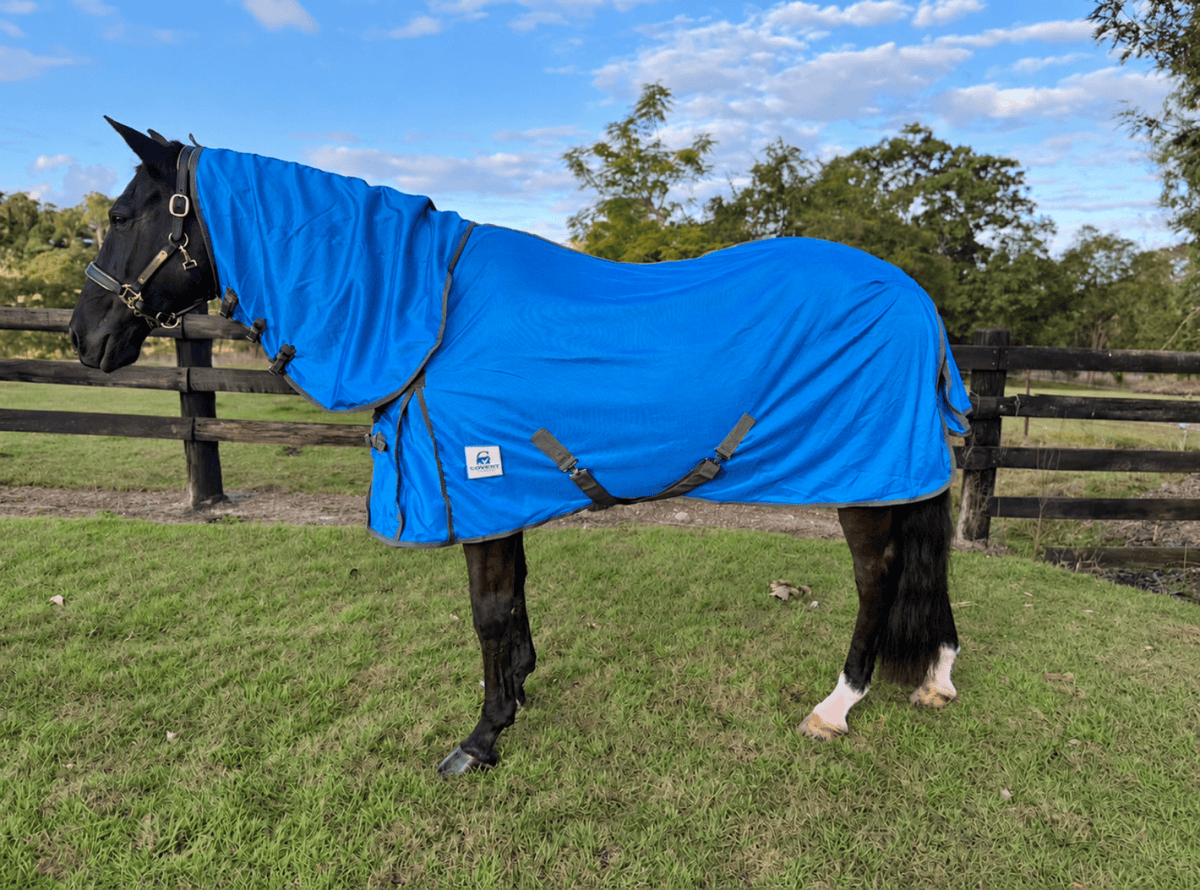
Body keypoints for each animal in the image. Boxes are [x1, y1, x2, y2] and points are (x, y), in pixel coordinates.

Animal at [69, 119, 971, 776]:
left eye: (122, 217)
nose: (85, 337)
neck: (431, 314)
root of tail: (918, 300)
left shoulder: (477, 486)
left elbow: (490, 612)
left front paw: (482, 737)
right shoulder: (500, 491)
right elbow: (516, 607)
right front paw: (519, 692)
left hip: (867, 478)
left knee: (879, 577)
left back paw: (835, 707)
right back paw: (936, 679)